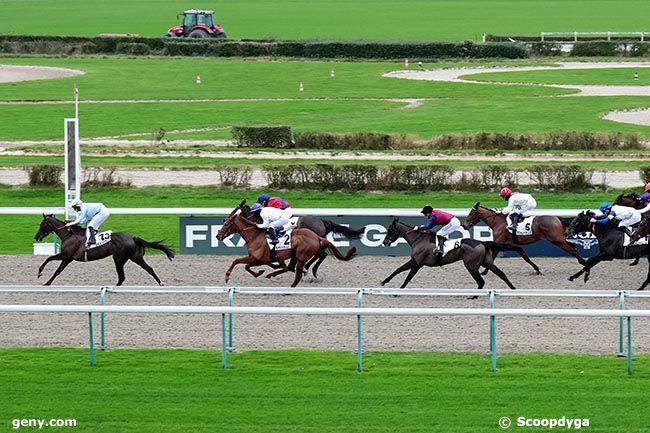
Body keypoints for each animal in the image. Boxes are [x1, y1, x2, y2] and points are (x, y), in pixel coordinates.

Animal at [34, 213, 173, 286]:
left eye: (41, 225)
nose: (36, 237)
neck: (69, 235)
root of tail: (133, 237)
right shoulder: (68, 258)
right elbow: (56, 268)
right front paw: (46, 280)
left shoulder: (67, 256)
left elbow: (51, 261)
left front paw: (41, 275)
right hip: (135, 257)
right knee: (149, 269)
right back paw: (161, 283)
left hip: (119, 259)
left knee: (122, 277)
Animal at [215, 203, 354, 286]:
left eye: (227, 223)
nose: (218, 235)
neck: (255, 235)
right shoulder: (259, 258)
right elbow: (244, 264)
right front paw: (261, 272)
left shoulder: (258, 258)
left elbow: (241, 263)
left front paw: (228, 276)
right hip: (296, 254)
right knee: (296, 265)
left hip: (302, 254)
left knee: (319, 256)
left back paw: (307, 271)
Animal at [378, 219, 520, 290]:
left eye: (390, 230)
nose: (385, 242)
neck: (418, 239)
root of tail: (481, 242)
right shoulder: (418, 264)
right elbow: (408, 277)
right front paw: (399, 289)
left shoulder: (416, 261)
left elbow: (399, 270)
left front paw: (384, 282)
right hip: (487, 262)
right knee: (501, 274)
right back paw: (513, 288)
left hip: (471, 266)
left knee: (481, 281)